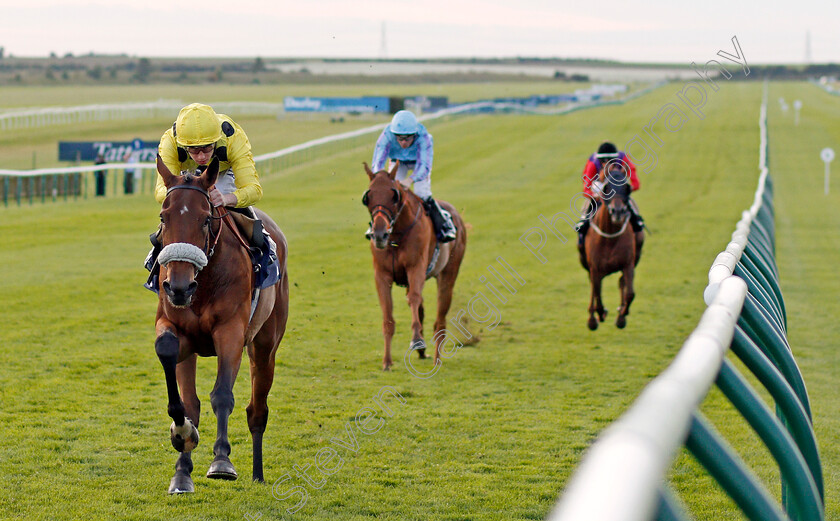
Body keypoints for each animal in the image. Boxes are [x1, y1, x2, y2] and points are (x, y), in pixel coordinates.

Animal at [153, 154, 288, 492]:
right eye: (164, 217)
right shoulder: (177, 330)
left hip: (265, 344)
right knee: (194, 401)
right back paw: (183, 470)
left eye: (205, 219)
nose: (178, 286)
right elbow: (179, 384)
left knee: (257, 410)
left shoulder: (231, 332)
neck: (203, 284)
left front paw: (222, 460)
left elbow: (223, 394)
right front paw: (182, 439)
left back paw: (257, 473)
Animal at [360, 162, 466, 370]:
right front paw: (387, 361)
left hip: (448, 274)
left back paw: (436, 358)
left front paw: (417, 340)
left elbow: (414, 299)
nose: (379, 234)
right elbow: (388, 314)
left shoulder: (415, 267)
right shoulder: (382, 275)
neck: (396, 236)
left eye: (394, 196)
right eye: (368, 197)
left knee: (440, 320)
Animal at [584, 167, 644, 330]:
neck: (610, 238)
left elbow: (630, 293)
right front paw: (599, 314)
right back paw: (592, 318)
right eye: (606, 187)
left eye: (626, 187)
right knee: (593, 288)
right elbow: (597, 293)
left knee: (622, 283)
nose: (617, 211)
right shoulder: (595, 268)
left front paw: (622, 315)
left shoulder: (628, 264)